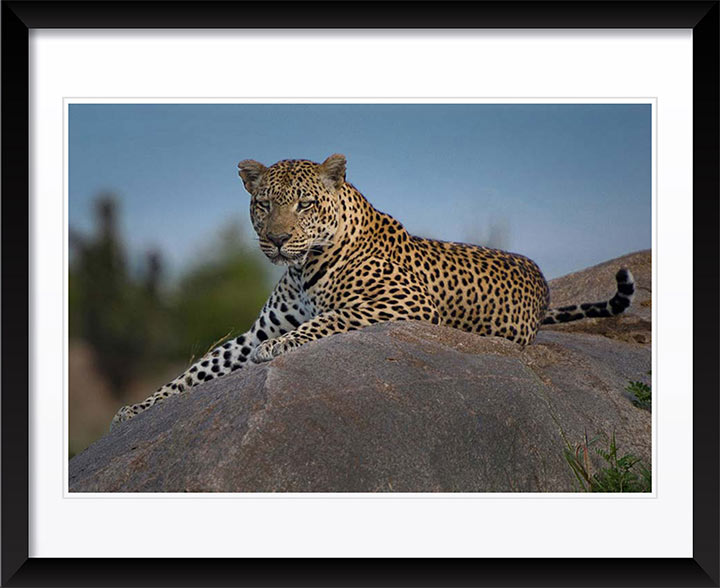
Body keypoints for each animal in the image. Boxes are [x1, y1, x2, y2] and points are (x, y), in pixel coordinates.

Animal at [111, 154, 634, 426]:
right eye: (263, 204)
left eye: (304, 204)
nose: (276, 239)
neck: (303, 267)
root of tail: (542, 283)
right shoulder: (253, 331)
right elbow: (200, 367)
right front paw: (138, 409)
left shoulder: (403, 302)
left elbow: (331, 317)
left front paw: (281, 347)